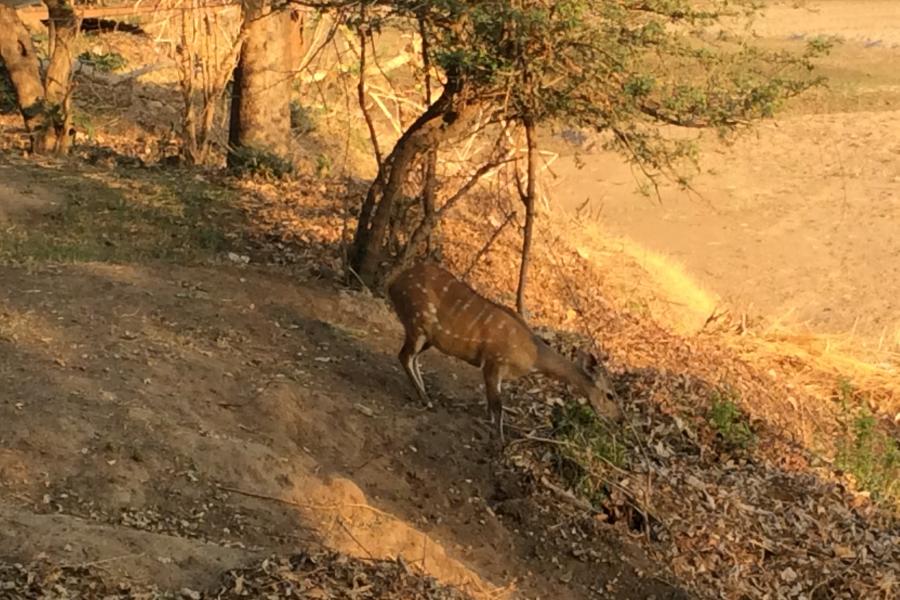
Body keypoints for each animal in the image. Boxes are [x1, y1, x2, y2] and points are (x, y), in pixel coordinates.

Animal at [386, 260, 624, 442]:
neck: (533, 355)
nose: (619, 419)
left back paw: (426, 394)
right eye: (610, 395)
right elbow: (498, 406)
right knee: (404, 356)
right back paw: (426, 400)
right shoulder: (494, 361)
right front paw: (500, 441)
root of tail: (393, 283)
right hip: (419, 323)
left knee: (413, 358)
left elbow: (492, 404)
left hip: (430, 337)